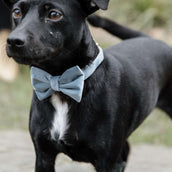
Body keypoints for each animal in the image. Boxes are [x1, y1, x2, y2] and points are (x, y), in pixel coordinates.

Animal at [3, 0, 172, 172]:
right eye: (16, 12)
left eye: (54, 14)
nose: (14, 40)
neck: (61, 85)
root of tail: (149, 38)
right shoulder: (44, 155)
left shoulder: (108, 161)